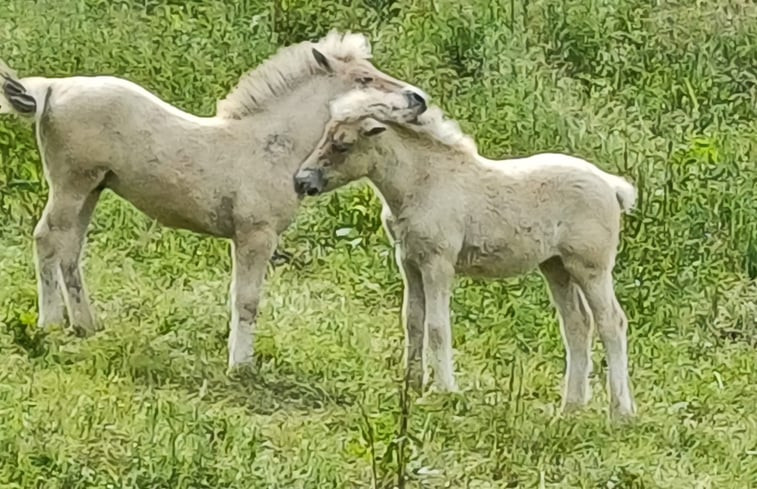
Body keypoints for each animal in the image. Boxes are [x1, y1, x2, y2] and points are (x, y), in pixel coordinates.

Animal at [0, 33, 426, 370]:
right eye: (364, 78)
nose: (418, 99)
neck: (271, 146)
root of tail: (51, 89)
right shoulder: (255, 236)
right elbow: (246, 300)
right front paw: (240, 366)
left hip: (91, 189)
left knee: (70, 250)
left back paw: (86, 325)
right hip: (70, 184)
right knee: (47, 239)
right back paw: (50, 324)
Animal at [296, 87, 636, 416]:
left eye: (343, 145)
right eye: (325, 134)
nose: (301, 182)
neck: (423, 183)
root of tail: (611, 186)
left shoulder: (438, 263)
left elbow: (437, 326)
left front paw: (443, 391)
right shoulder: (409, 261)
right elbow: (413, 321)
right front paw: (412, 384)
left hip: (591, 268)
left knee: (611, 323)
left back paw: (621, 412)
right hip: (556, 267)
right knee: (577, 325)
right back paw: (570, 408)